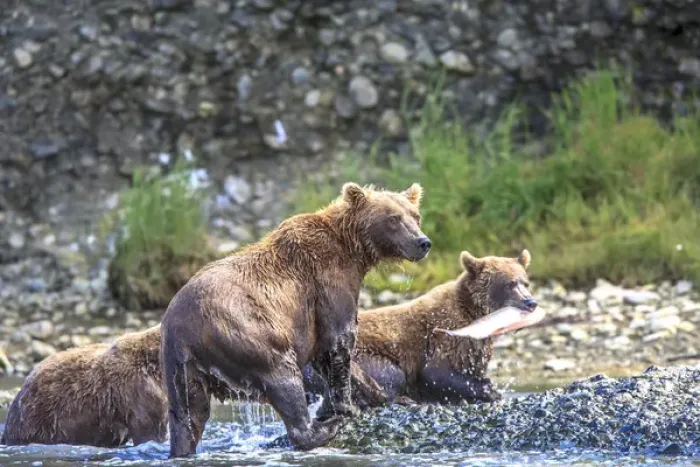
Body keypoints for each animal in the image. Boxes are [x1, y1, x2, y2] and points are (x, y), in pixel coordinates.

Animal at [160, 182, 430, 458]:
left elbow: (336, 359)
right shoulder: (328, 283)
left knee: (189, 414)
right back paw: (324, 427)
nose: (422, 242)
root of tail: (182, 329)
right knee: (282, 378)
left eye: (416, 216)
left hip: (180, 367)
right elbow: (338, 343)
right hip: (245, 332)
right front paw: (344, 409)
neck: (353, 251)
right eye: (393, 218)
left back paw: (183, 447)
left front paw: (390, 397)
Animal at [303, 249, 538, 407]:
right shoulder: (446, 336)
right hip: (358, 356)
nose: (530, 302)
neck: (475, 314)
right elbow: (436, 373)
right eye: (508, 284)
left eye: (525, 282)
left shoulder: (474, 348)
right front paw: (490, 390)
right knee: (389, 373)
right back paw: (400, 398)